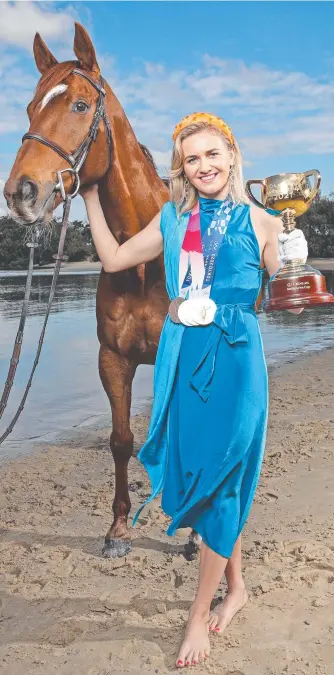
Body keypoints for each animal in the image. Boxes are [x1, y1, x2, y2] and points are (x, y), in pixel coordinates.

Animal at [3, 23, 180, 556]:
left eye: (80, 105)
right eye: (29, 107)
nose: (20, 193)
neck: (145, 260)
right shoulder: (113, 360)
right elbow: (121, 441)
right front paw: (118, 529)